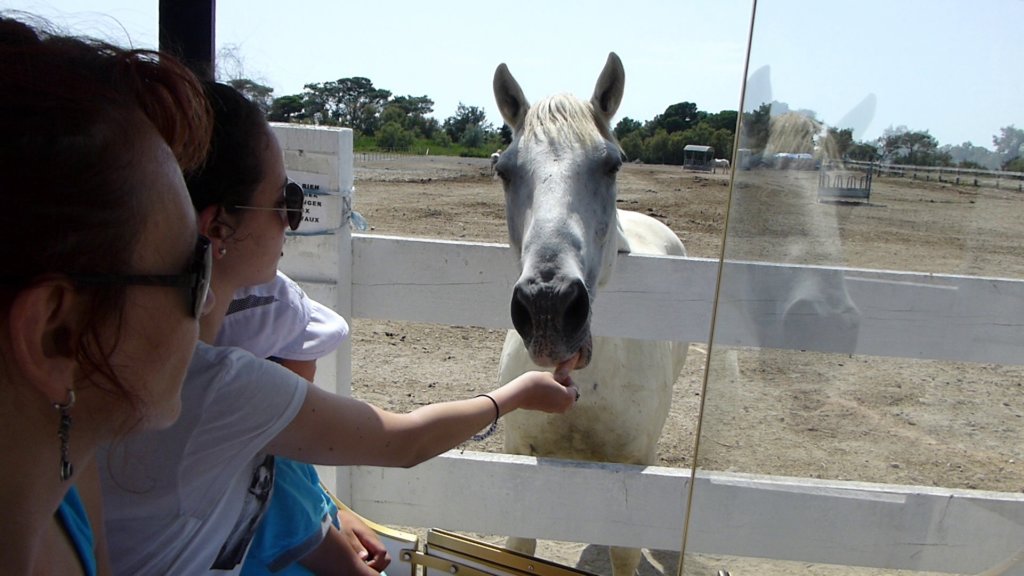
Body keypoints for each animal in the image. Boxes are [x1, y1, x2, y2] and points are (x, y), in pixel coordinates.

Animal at [489, 51, 684, 569]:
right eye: (504, 170)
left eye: (611, 164)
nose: (548, 306)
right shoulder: (522, 457)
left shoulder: (630, 470)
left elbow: (622, 552)